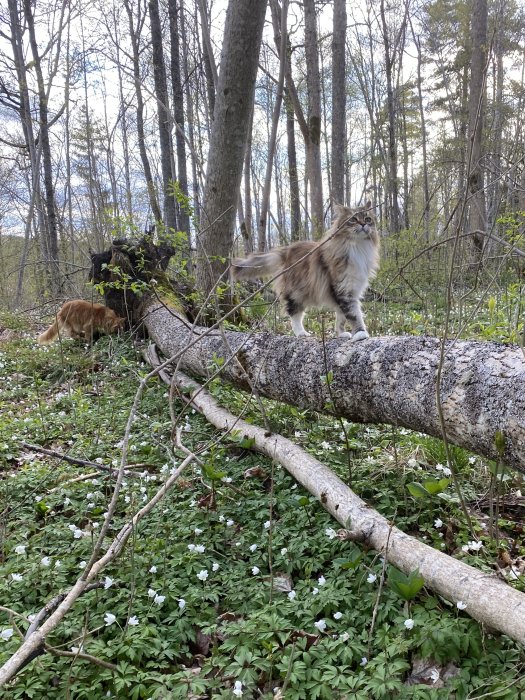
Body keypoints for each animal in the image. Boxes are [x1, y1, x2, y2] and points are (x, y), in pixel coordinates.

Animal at [231, 202, 378, 342]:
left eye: (368, 219)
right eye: (353, 219)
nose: (363, 224)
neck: (358, 247)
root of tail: (286, 250)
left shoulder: (350, 290)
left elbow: (341, 318)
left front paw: (341, 334)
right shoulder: (344, 291)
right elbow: (354, 315)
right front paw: (360, 333)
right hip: (297, 293)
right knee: (293, 313)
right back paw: (301, 333)